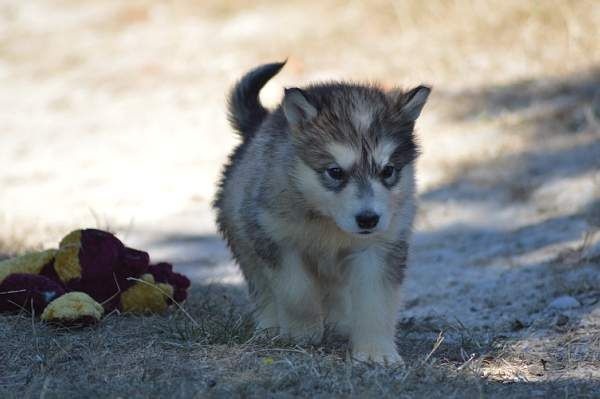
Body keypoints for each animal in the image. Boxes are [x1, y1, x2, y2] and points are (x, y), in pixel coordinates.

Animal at [213, 61, 428, 364]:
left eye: (388, 171)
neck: (328, 221)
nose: (368, 219)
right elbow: (297, 292)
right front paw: (301, 333)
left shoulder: (380, 249)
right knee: (262, 288)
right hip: (244, 241)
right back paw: (269, 328)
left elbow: (376, 302)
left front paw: (376, 351)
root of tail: (260, 125)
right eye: (335, 172)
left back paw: (341, 324)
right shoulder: (276, 241)